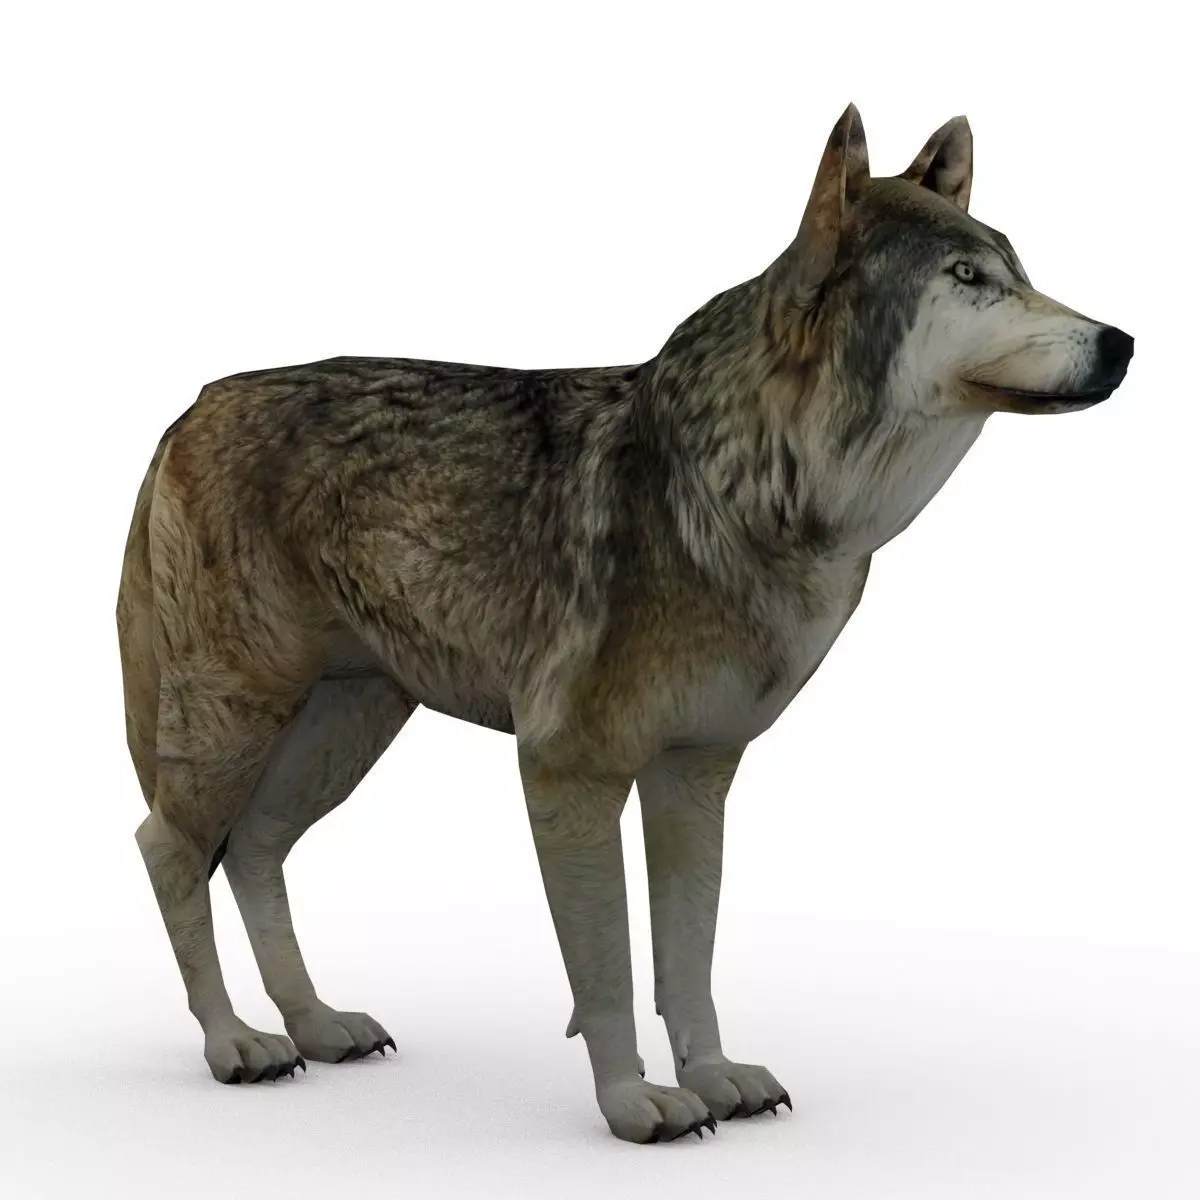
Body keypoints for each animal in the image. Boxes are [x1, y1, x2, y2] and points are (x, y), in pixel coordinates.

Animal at [117, 104, 1133, 1144]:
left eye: (1018, 270)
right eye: (968, 279)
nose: (1123, 342)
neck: (758, 489)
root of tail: (191, 408)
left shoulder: (694, 775)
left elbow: (688, 961)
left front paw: (714, 1076)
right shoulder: (568, 774)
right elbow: (605, 968)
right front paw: (633, 1101)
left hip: (345, 727)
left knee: (255, 850)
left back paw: (317, 1024)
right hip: (241, 721)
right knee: (168, 847)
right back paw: (235, 1042)